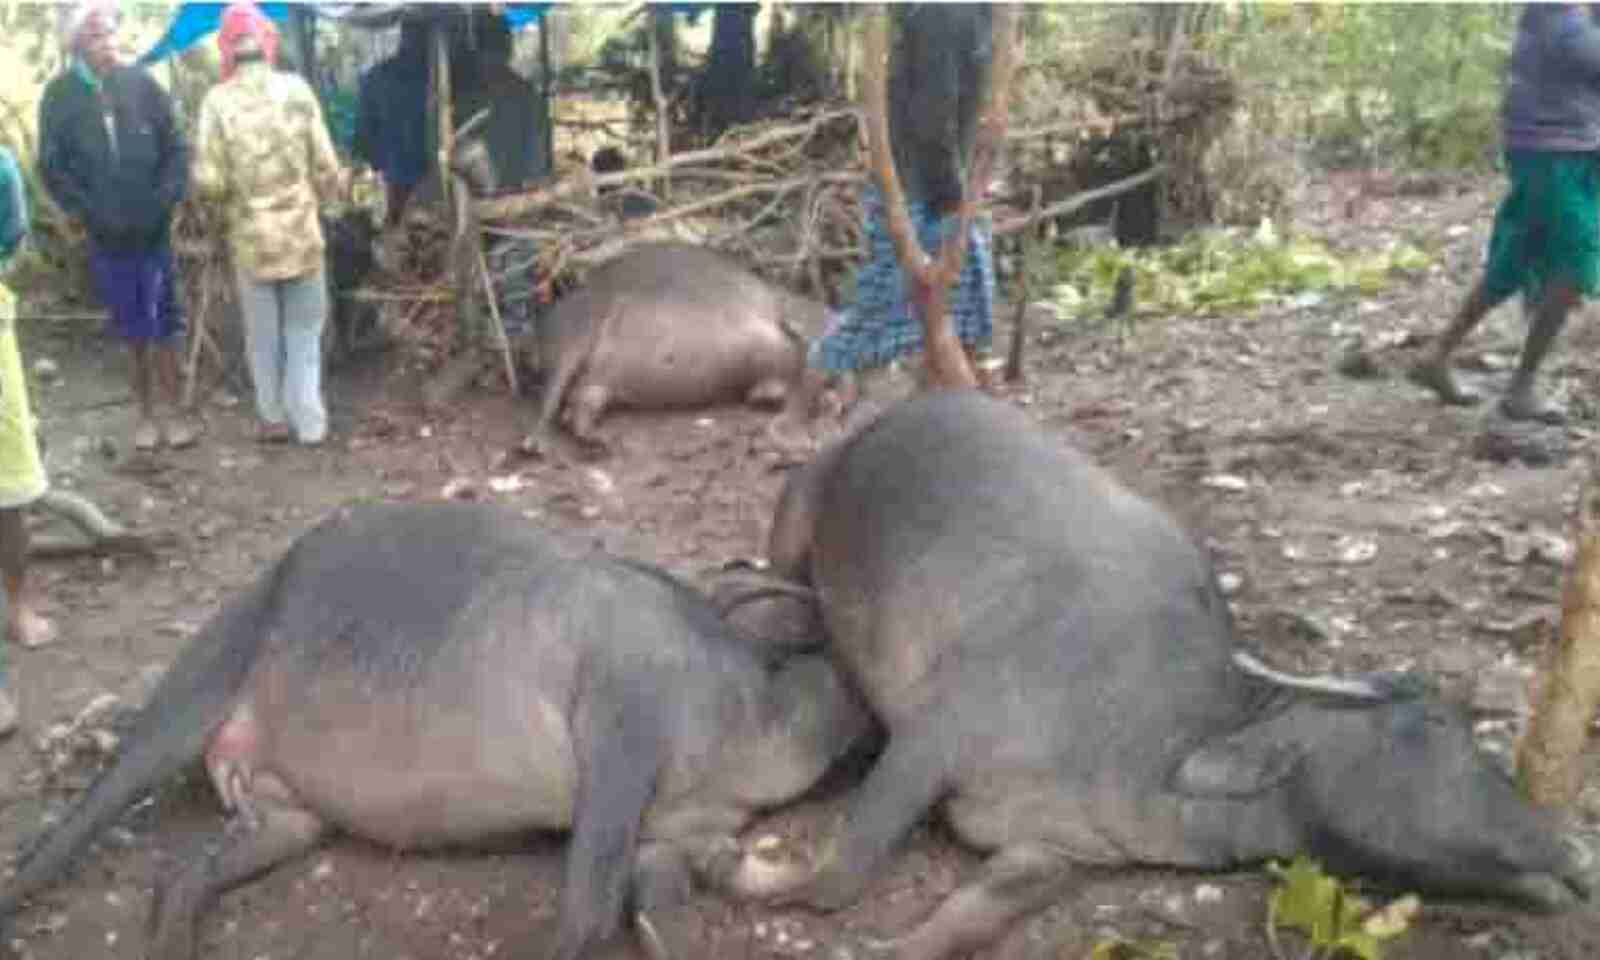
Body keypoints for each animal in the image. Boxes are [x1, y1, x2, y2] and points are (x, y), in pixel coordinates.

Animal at [0, 502, 876, 960]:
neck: (750, 719)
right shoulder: (621, 729)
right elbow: (586, 912)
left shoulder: (678, 838)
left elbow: (665, 920)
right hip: (199, 685)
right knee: (74, 826)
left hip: (289, 819)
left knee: (181, 878)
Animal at [531, 240, 832, 451]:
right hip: (576, 338)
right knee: (555, 401)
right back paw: (535, 444)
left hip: (599, 378)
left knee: (577, 408)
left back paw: (599, 441)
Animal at [723, 390, 1587, 960]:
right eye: (1434, 725)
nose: (1572, 852)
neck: (1149, 744)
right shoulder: (929, 740)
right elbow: (840, 874)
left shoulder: (1052, 855)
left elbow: (962, 921)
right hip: (793, 525)